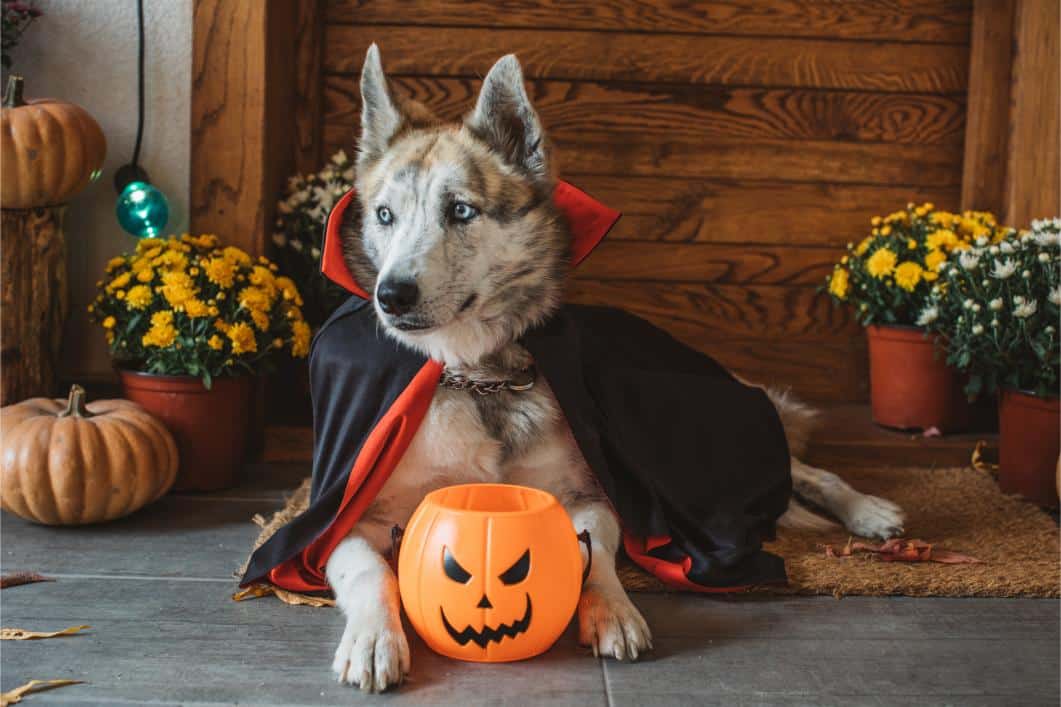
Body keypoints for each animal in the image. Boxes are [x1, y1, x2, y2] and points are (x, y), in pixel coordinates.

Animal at [324, 44, 903, 687]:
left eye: (461, 210)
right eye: (384, 215)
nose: (391, 295)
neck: (478, 378)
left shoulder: (591, 493)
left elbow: (593, 550)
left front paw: (613, 610)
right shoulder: (346, 516)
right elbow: (369, 571)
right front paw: (373, 638)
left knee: (803, 469)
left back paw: (869, 511)